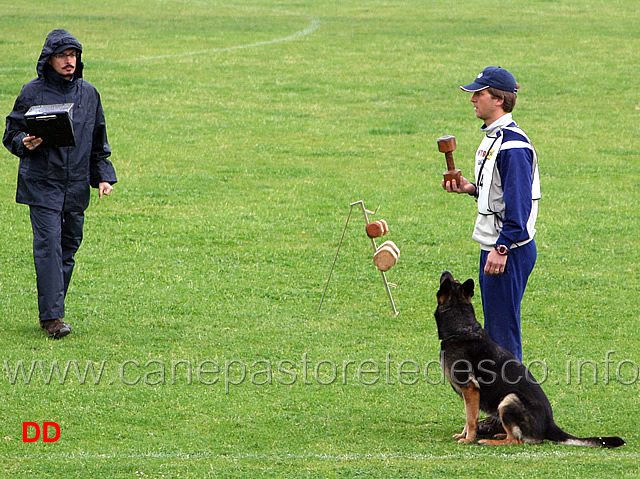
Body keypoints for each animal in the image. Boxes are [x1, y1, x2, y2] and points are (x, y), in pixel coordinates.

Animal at [436, 272, 624, 448]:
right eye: (454, 280)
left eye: (448, 281)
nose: (445, 272)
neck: (461, 329)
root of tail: (550, 425)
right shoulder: (469, 394)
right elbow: (469, 415)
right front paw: (463, 435)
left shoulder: (470, 389)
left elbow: (471, 418)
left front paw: (468, 439)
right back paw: (500, 434)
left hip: (509, 399)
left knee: (517, 440)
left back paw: (491, 441)